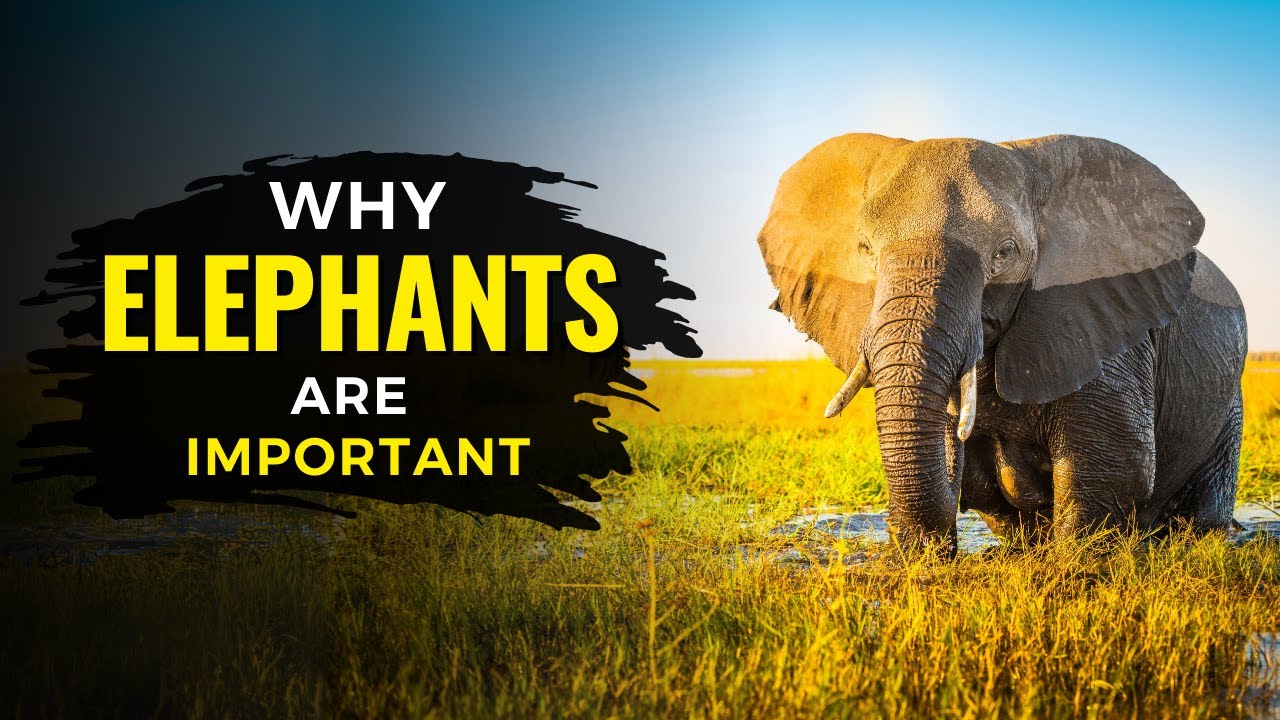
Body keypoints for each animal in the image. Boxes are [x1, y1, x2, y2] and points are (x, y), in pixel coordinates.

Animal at [757, 133, 1248, 551]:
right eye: (864, 250)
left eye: (1005, 253)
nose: (915, 550)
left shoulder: (1106, 318)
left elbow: (1114, 464)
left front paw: (1073, 567)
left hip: (1228, 404)